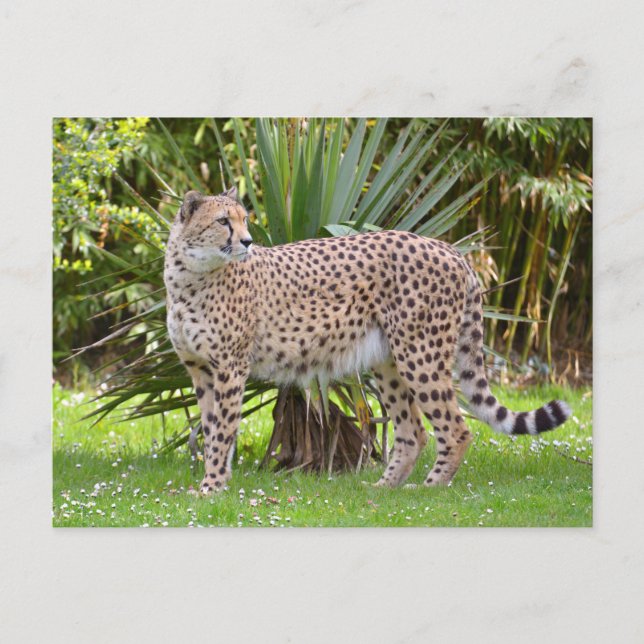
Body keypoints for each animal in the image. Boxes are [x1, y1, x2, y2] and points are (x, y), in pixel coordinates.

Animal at [164, 187, 571, 494]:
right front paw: (214, 483)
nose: (248, 241)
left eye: (244, 220)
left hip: (420, 354)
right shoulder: (201, 370)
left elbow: (221, 430)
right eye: (223, 221)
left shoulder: (231, 368)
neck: (190, 276)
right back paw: (384, 488)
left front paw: (211, 488)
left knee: (455, 428)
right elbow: (212, 426)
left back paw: (429, 488)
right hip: (386, 361)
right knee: (413, 431)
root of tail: (449, 248)